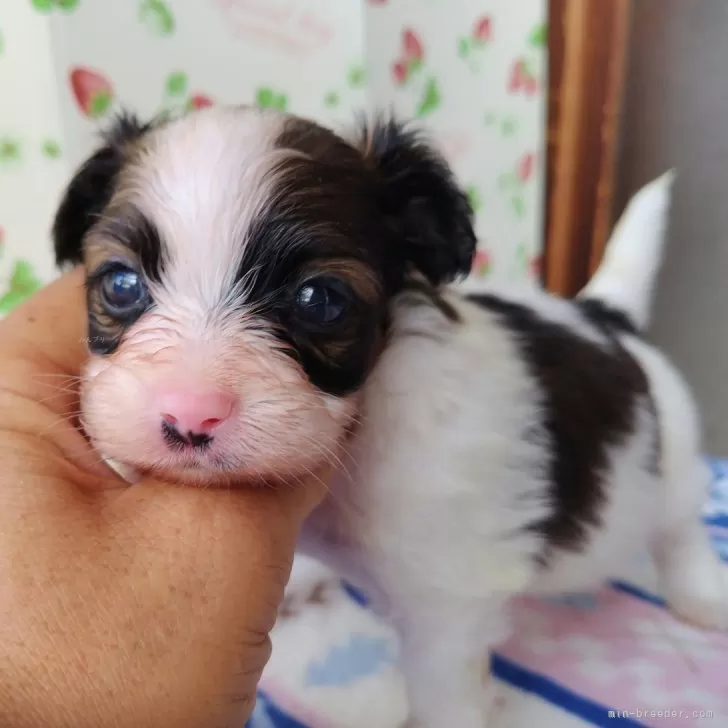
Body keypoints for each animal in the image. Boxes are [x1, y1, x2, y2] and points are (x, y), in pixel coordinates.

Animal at [54, 106, 724, 728]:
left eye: (319, 299)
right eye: (120, 284)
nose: (190, 415)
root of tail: (606, 317)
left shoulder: (446, 605)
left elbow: (442, 695)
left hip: (672, 465)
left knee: (679, 526)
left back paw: (698, 593)